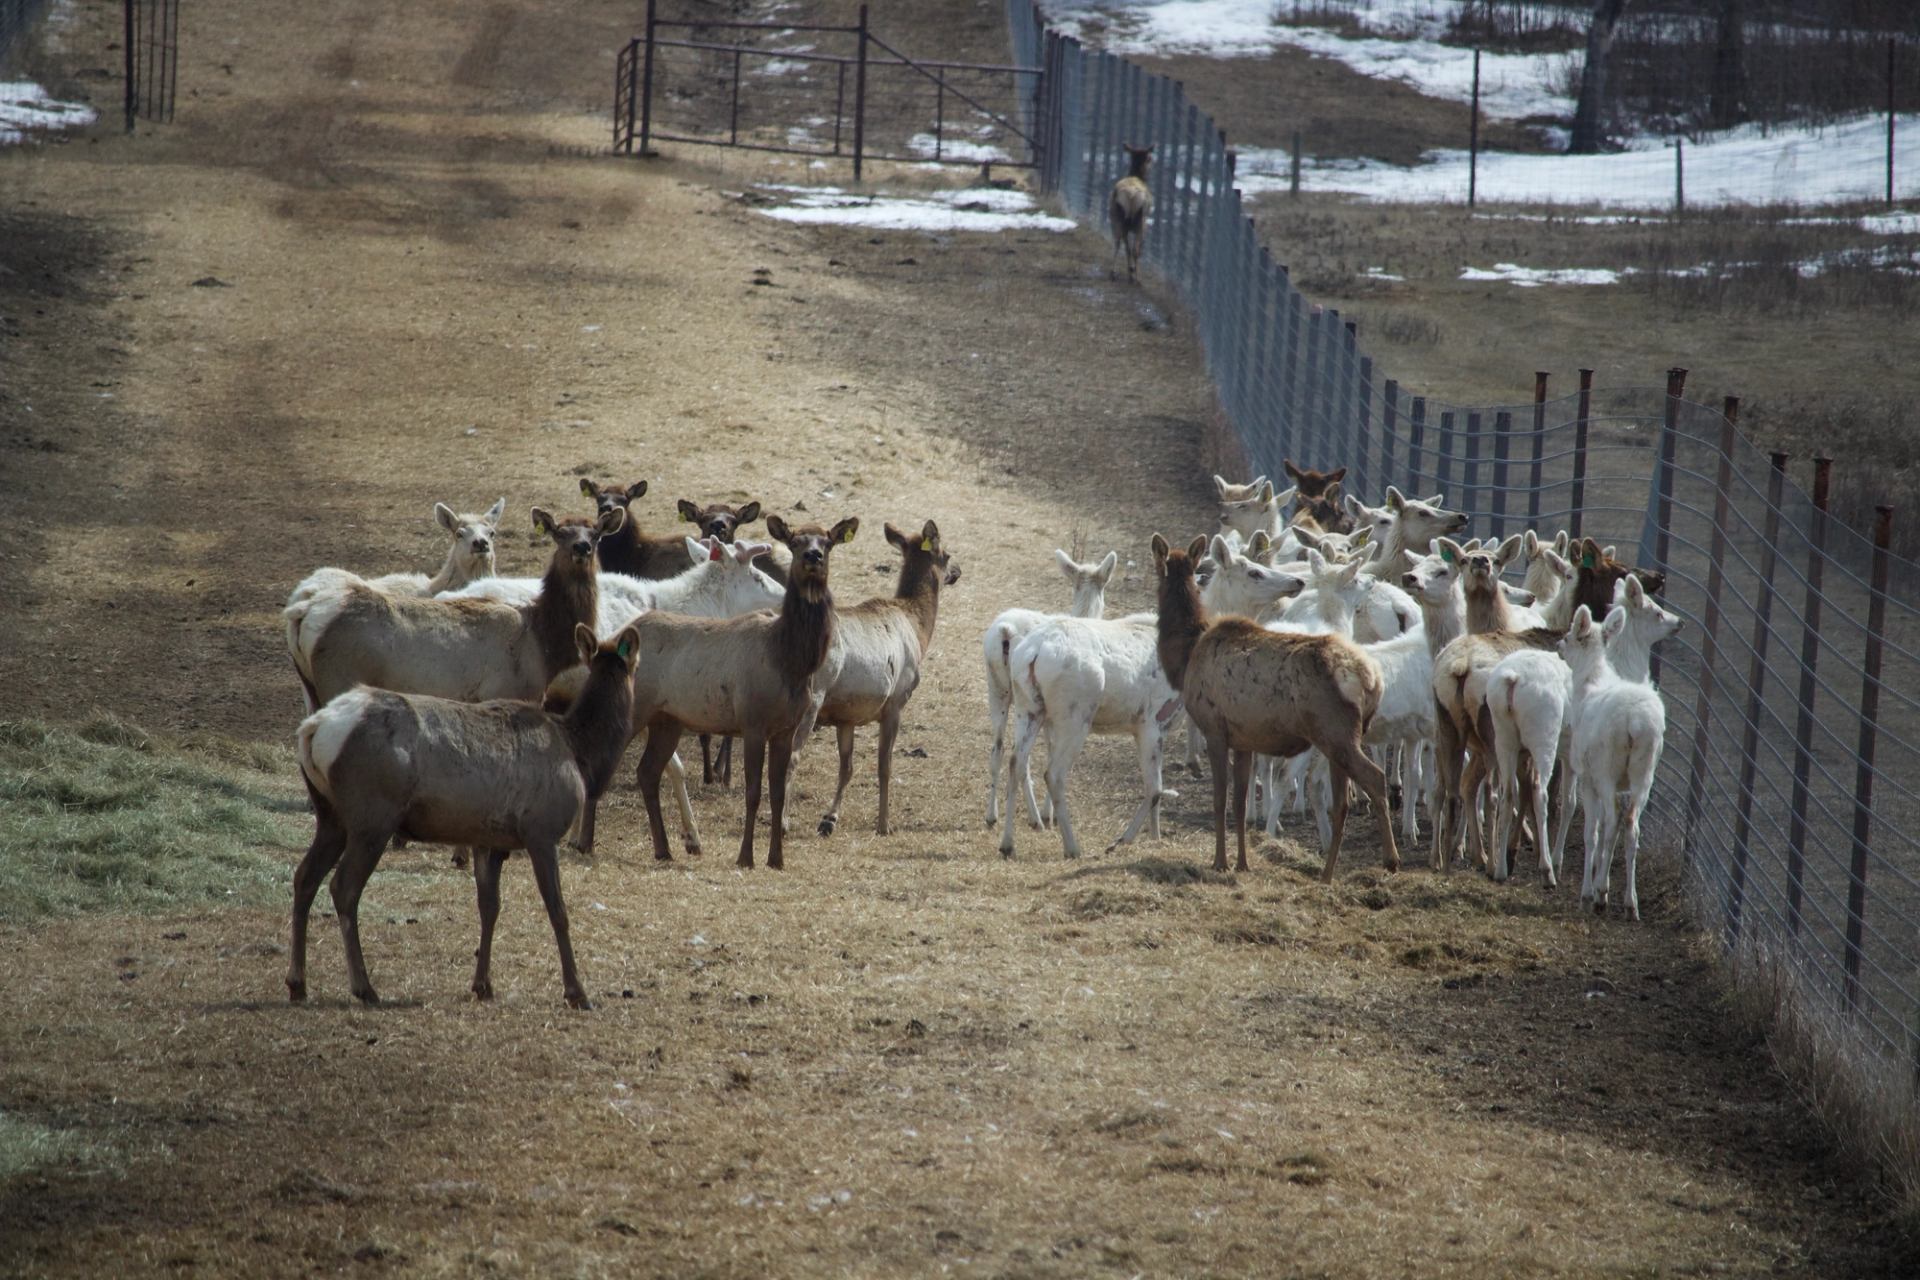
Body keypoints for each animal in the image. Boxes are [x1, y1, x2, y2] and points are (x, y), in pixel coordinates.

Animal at [288, 622, 640, 1010]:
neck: (580, 754)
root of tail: (313, 730)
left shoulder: (490, 840)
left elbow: (489, 907)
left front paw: (483, 984)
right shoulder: (541, 830)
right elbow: (558, 910)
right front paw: (577, 992)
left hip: (331, 816)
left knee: (304, 877)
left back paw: (297, 983)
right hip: (373, 816)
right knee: (343, 887)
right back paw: (364, 988)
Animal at [808, 520, 961, 838]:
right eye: (947, 554)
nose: (958, 571)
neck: (918, 630)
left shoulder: (847, 715)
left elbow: (847, 766)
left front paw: (829, 819)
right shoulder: (895, 701)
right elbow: (884, 766)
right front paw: (883, 824)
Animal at [1109, 142, 1153, 282]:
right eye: (1149, 158)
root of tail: (1131, 196)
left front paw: (1130, 270)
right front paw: (1132, 271)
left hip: (1117, 216)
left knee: (1120, 243)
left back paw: (1115, 272)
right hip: (1139, 220)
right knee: (1134, 249)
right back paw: (1135, 277)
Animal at [1153, 533, 1398, 881]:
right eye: (1253, 572)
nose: (1296, 581)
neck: (1185, 657)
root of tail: (1372, 680)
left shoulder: (1215, 728)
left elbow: (1220, 799)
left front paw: (1220, 862)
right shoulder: (1243, 739)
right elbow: (1240, 802)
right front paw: (1242, 862)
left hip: (1335, 732)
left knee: (1374, 779)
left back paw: (1390, 860)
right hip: (1339, 740)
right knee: (1341, 801)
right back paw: (1327, 872)